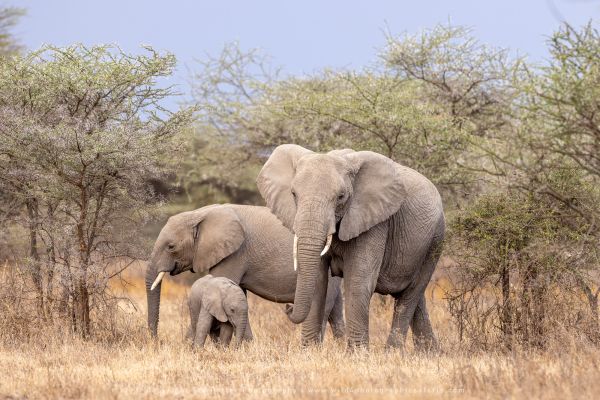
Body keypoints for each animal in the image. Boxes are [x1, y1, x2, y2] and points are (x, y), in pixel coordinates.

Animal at [145, 205, 344, 342]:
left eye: (171, 246)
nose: (156, 341)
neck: (199, 214)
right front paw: (248, 345)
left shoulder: (234, 254)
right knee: (335, 313)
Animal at [255, 145, 442, 350]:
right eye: (294, 194)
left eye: (341, 197)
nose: (288, 307)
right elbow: (319, 281)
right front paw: (308, 351)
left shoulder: (374, 221)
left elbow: (358, 281)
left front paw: (357, 353)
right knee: (415, 296)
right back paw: (429, 353)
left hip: (435, 241)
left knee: (410, 294)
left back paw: (393, 352)